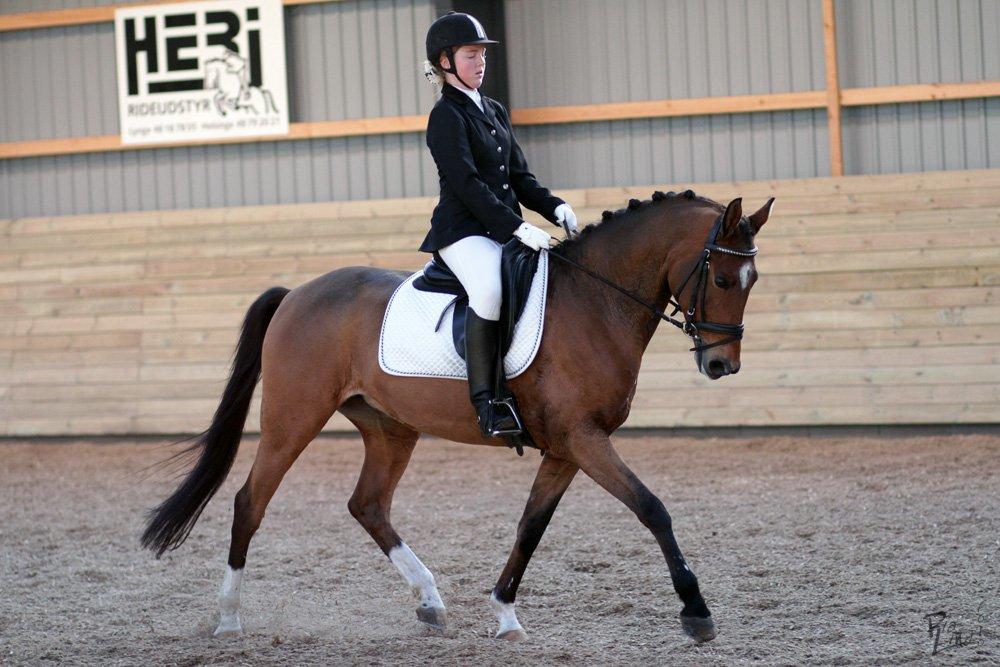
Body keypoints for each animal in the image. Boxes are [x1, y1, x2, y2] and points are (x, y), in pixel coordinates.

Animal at [141, 190, 773, 643]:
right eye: (721, 278)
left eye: (753, 281)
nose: (722, 364)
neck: (596, 302)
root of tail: (297, 293)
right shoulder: (583, 439)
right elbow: (652, 508)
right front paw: (696, 610)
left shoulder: (567, 447)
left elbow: (530, 527)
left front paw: (506, 615)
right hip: (292, 419)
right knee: (251, 502)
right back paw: (228, 619)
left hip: (390, 428)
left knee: (367, 505)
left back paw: (430, 602)